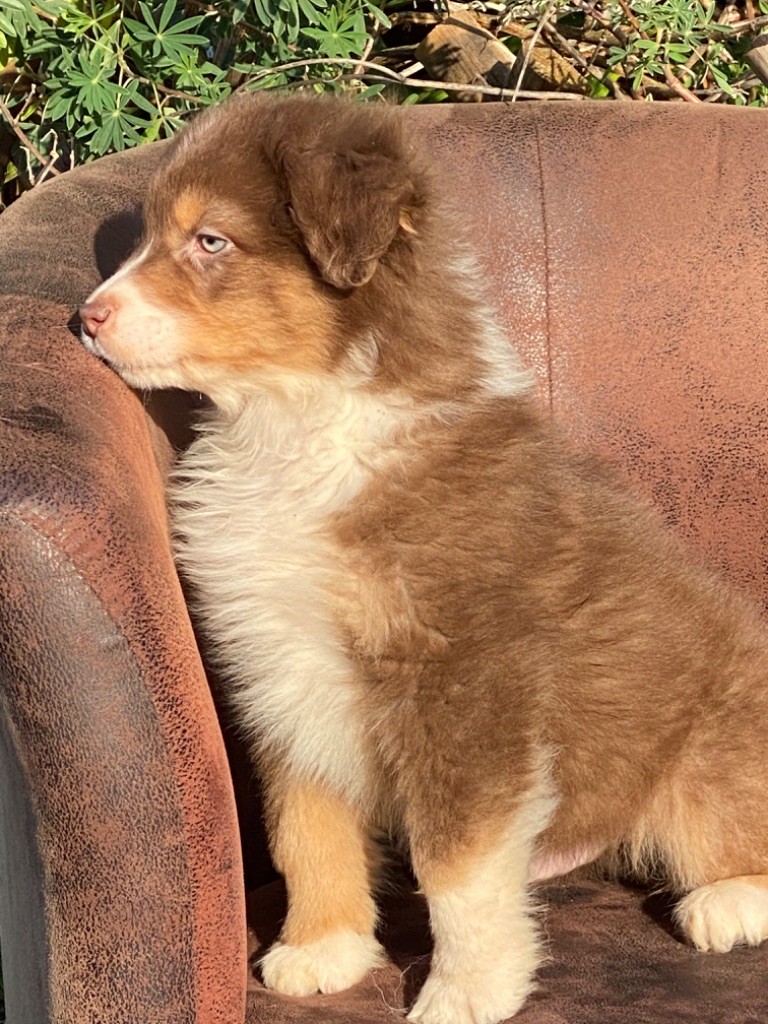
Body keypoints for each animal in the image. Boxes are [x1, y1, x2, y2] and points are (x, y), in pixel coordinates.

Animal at [79, 93, 768, 1024]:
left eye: (210, 241)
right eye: (152, 234)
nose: (84, 317)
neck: (301, 424)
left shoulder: (466, 682)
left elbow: (457, 866)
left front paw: (467, 990)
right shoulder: (282, 668)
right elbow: (306, 826)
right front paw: (323, 947)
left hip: (705, 750)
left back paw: (728, 902)